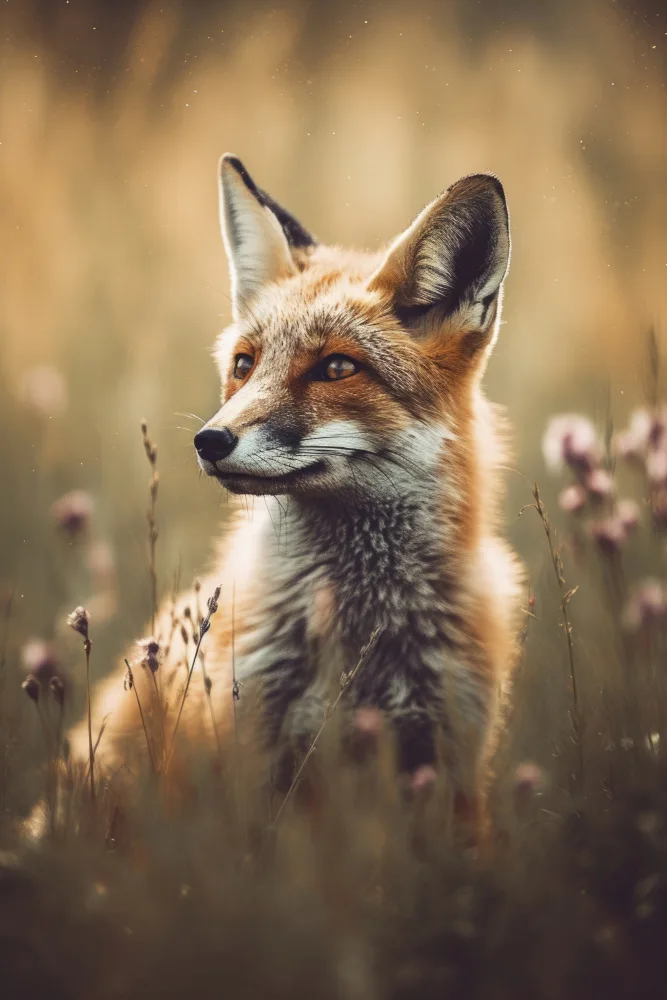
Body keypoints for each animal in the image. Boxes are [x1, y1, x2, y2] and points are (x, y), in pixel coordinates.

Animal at [58, 154, 522, 833]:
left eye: (336, 368)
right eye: (245, 364)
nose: (209, 440)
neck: (360, 638)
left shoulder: (450, 762)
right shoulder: (251, 757)